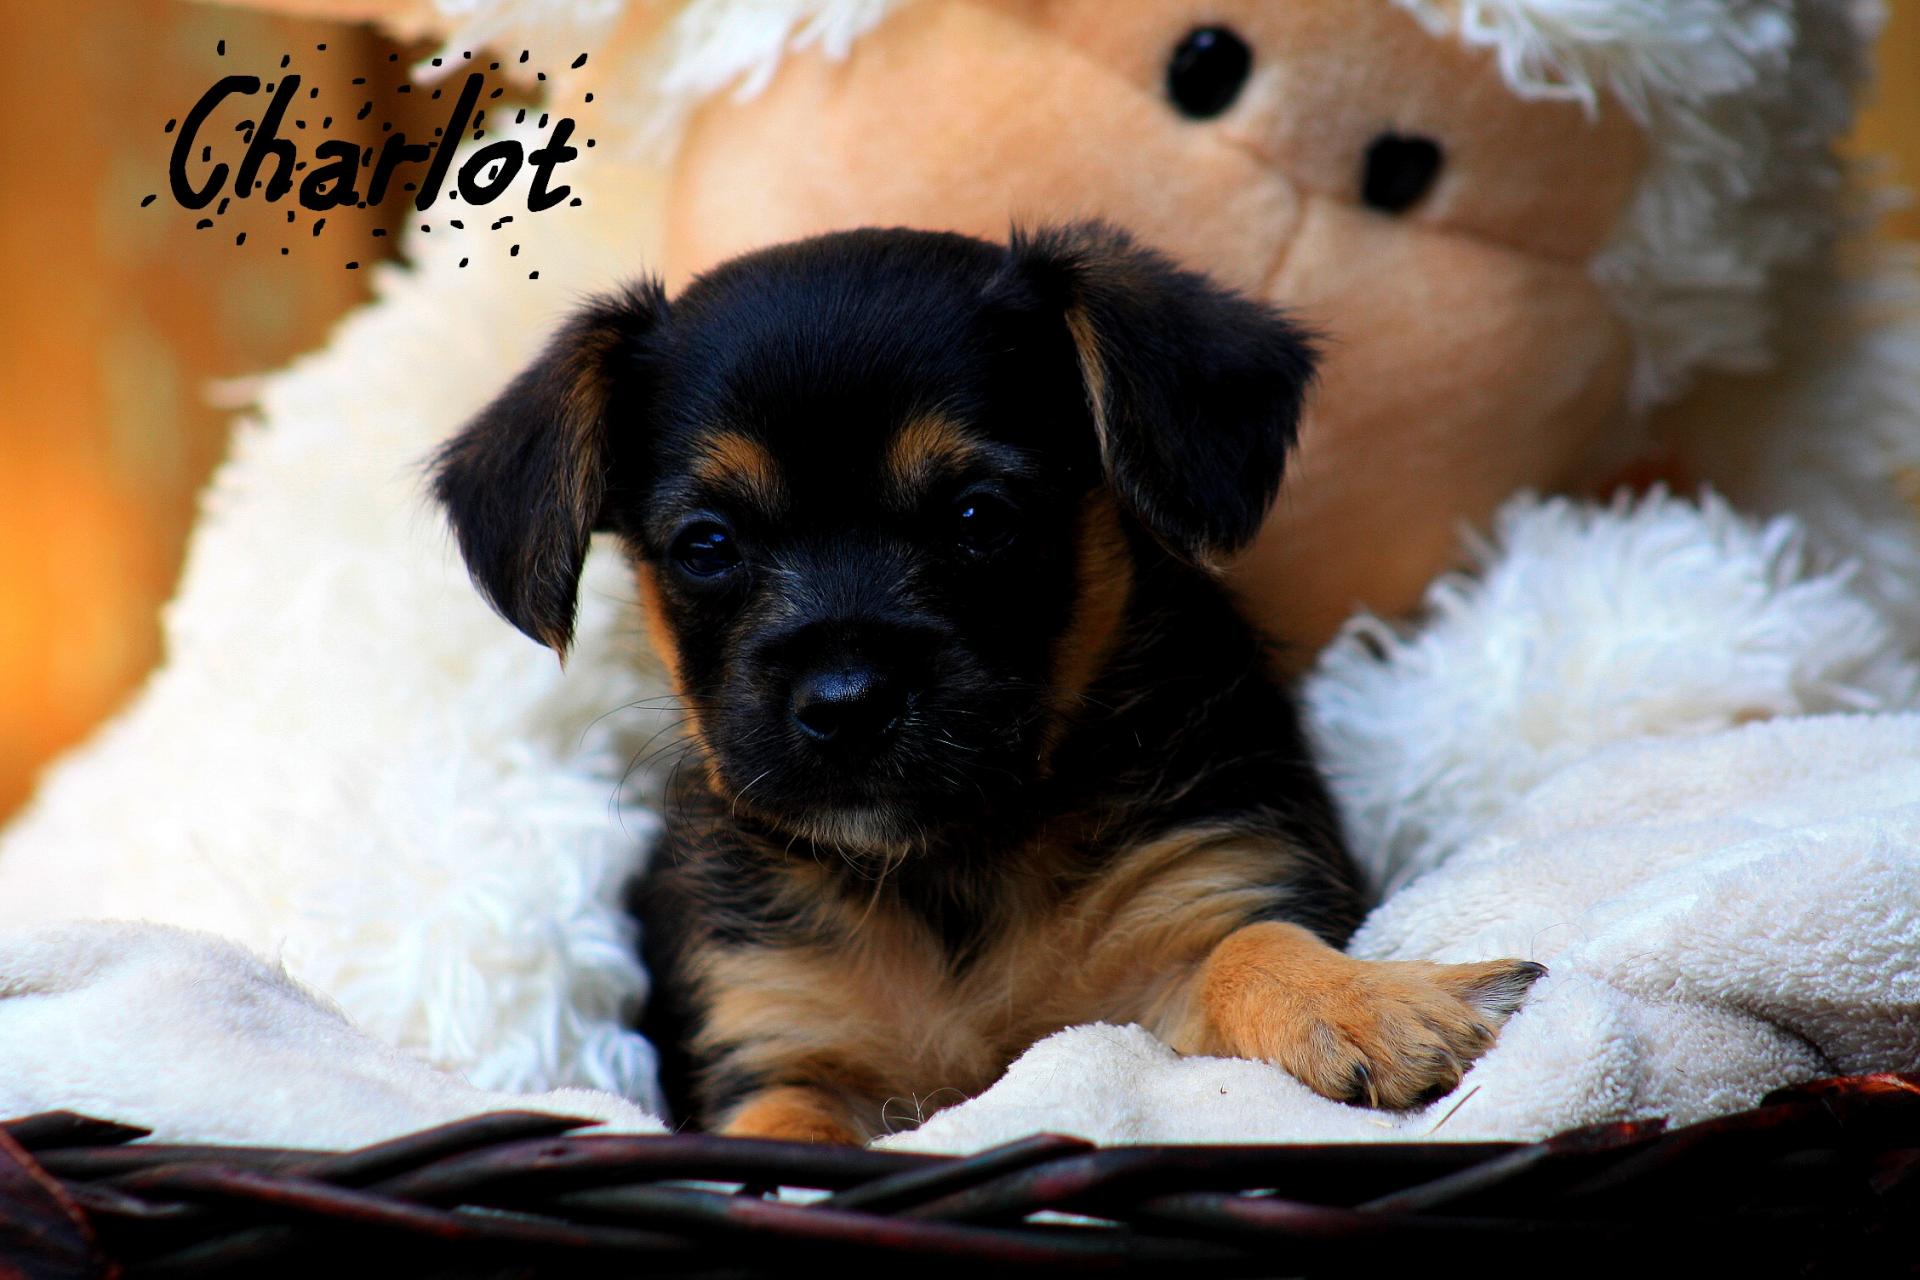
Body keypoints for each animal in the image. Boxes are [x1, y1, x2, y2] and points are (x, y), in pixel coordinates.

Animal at [433, 223, 1545, 1143]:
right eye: (706, 546)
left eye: (980, 518)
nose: (846, 702)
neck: (950, 862)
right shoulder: (776, 1037)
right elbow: (781, 1126)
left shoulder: (1179, 937)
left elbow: (1251, 944)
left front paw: (1373, 1005)